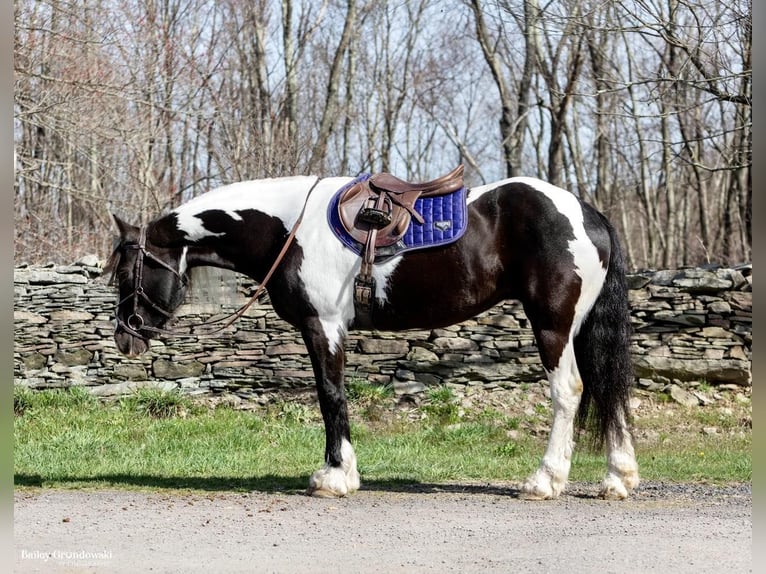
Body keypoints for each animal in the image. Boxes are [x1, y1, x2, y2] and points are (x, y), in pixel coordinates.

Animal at [103, 169, 640, 502]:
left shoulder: (324, 325)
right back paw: (618, 478)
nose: (126, 338)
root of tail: (587, 214)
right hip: (581, 328)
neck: (286, 229)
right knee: (606, 389)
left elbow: (331, 395)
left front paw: (335, 476)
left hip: (553, 324)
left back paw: (544, 481)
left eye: (127, 272)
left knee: (569, 391)